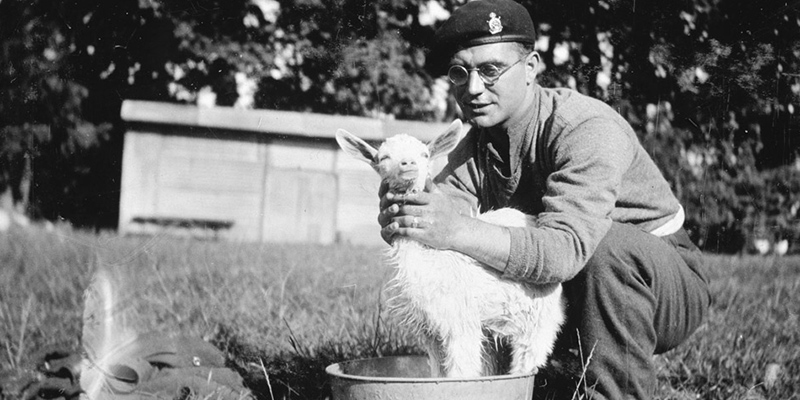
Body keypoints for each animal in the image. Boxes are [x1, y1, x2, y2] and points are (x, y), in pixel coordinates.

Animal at [334, 120, 564, 376]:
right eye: (384, 157)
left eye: (424, 154)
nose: (408, 164)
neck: (428, 260)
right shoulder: (430, 329)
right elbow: (439, 373)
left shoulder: (460, 321)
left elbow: (460, 373)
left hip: (538, 315)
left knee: (527, 360)